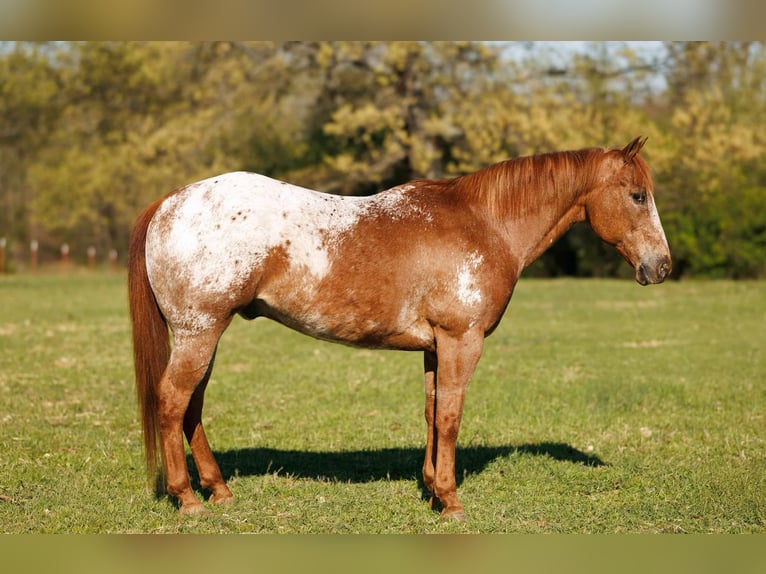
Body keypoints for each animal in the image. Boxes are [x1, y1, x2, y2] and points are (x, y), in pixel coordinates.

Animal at [128, 136, 671, 519]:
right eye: (637, 195)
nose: (662, 266)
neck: (486, 224)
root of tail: (169, 202)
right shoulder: (461, 341)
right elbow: (450, 417)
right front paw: (451, 501)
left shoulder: (434, 348)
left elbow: (431, 414)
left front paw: (431, 489)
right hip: (199, 333)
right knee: (173, 402)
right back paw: (187, 499)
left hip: (205, 335)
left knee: (192, 407)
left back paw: (219, 491)